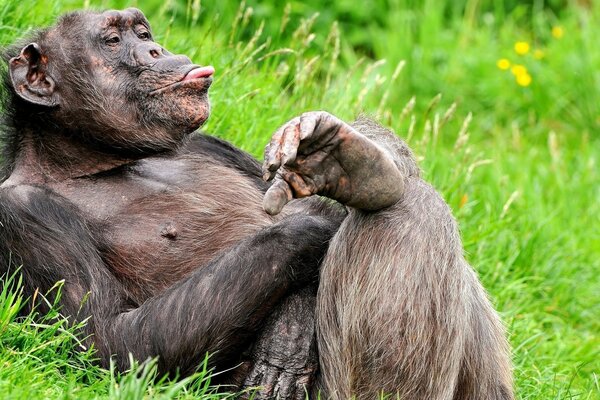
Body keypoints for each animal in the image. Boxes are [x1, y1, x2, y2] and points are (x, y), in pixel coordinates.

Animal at [0, 8, 516, 400]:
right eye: (112, 40)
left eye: (142, 34)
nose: (155, 50)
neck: (101, 162)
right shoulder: (24, 216)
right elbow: (110, 343)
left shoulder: (209, 144)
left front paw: (334, 154)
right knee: (404, 215)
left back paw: (358, 168)